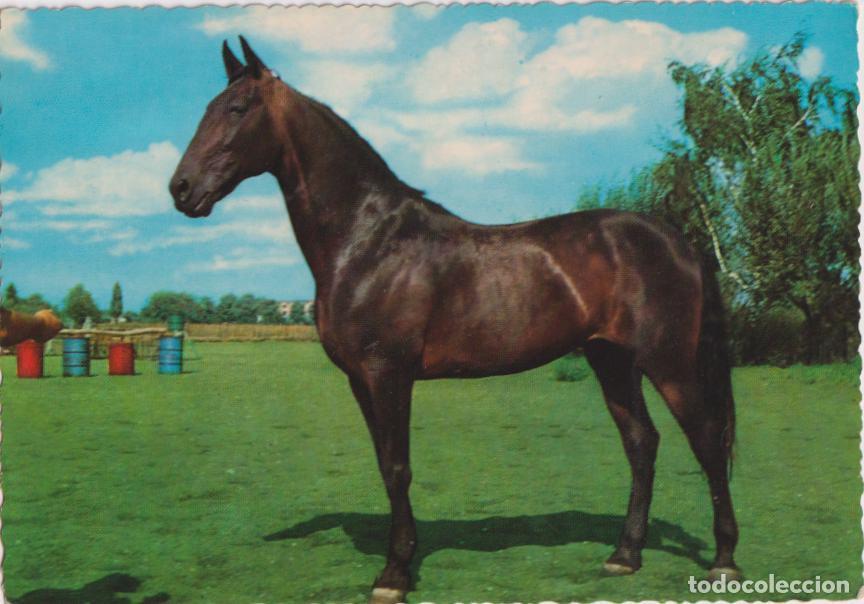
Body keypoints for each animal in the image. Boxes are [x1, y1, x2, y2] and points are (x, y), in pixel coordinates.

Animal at [170, 37, 740, 604]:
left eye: (238, 108)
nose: (181, 189)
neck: (368, 241)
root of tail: (678, 241)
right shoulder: (360, 380)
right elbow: (384, 465)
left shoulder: (389, 373)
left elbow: (397, 468)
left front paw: (394, 574)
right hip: (612, 360)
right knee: (642, 443)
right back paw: (624, 555)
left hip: (669, 363)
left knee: (708, 441)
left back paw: (724, 562)